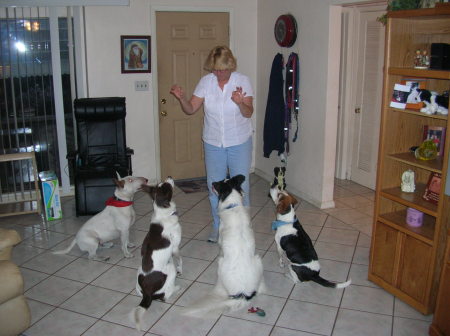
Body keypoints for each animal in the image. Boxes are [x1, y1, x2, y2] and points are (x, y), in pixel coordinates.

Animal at [129, 176, 182, 330]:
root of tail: (147, 293)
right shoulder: (175, 247)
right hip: (169, 270)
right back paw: (177, 288)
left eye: (162, 184)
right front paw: (181, 269)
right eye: (167, 187)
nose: (169, 176)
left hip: (137, 279)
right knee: (165, 296)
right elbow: (180, 259)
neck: (162, 212)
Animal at [185, 176, 264, 318]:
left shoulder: (221, 242)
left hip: (221, 264)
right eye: (225, 179)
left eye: (219, 184)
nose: (212, 183)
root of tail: (243, 294)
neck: (233, 206)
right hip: (258, 259)